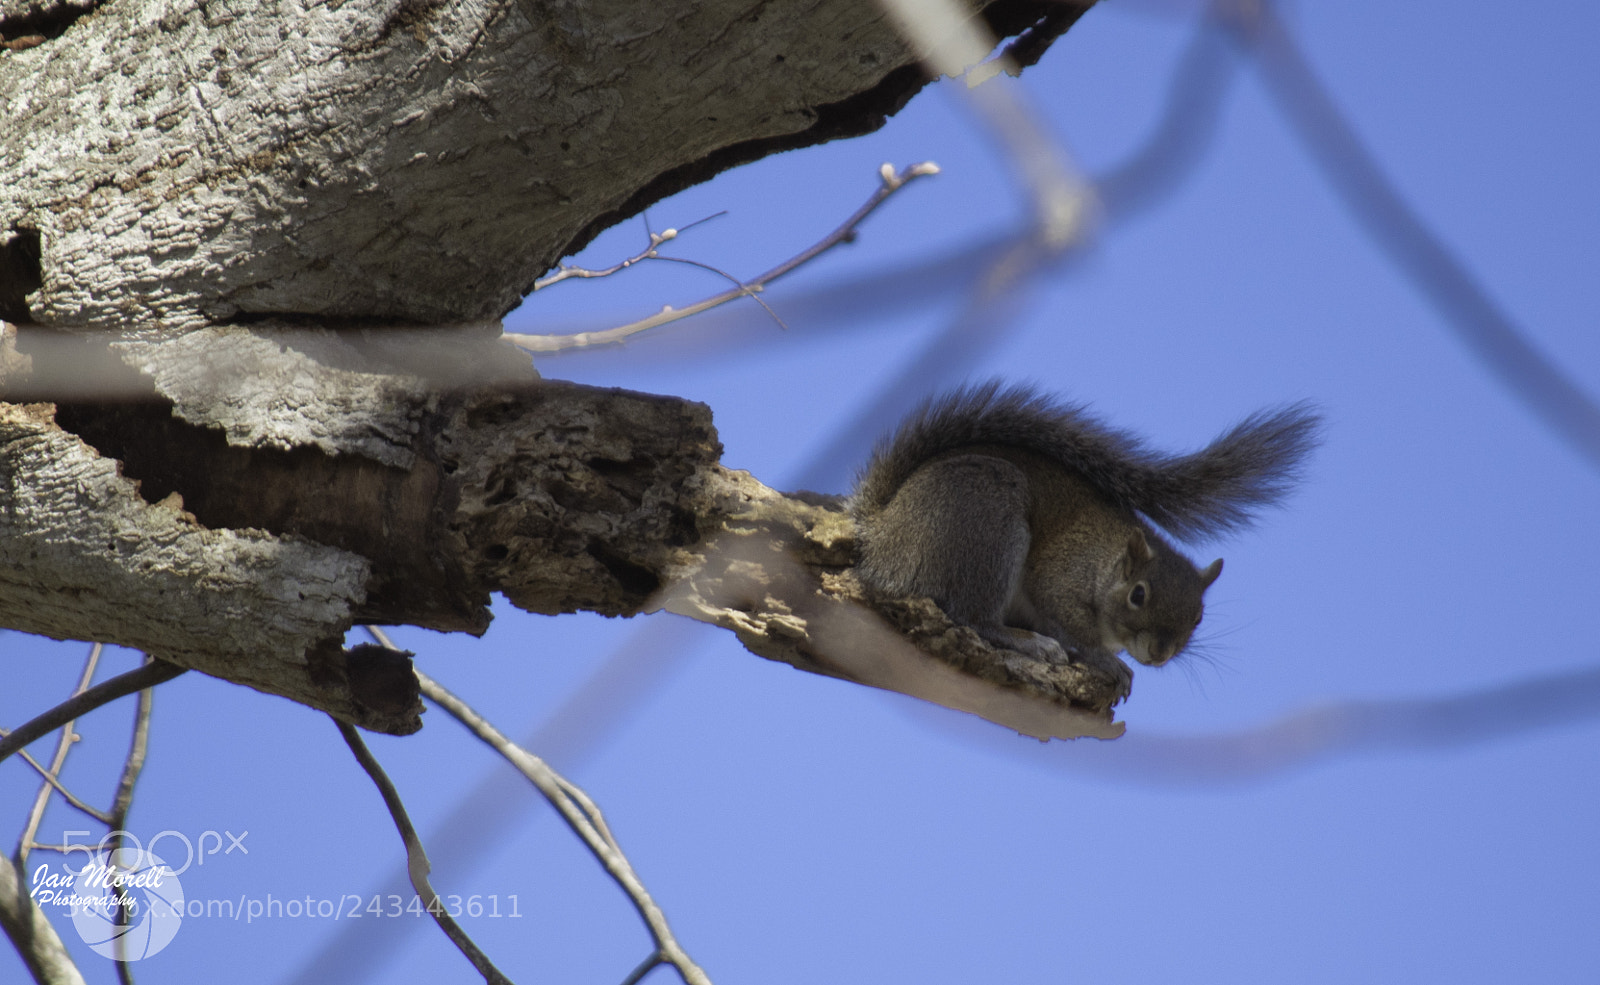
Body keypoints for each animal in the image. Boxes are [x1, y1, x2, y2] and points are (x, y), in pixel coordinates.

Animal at [851, 382, 1319, 696]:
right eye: (1138, 595)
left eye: (1199, 617)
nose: (1159, 653)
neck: (1107, 559)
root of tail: (881, 538)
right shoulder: (1060, 574)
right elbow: (1069, 621)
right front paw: (1107, 661)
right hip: (988, 525)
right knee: (973, 616)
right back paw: (1031, 642)